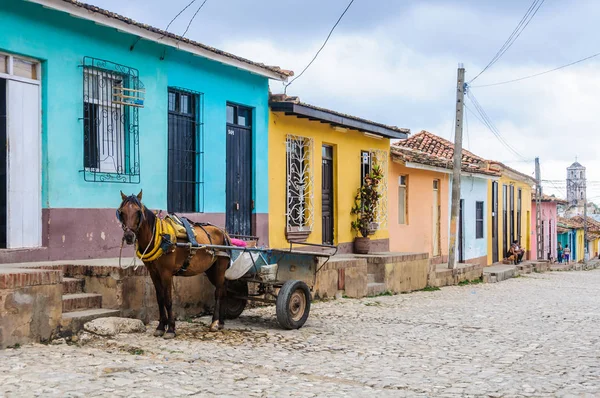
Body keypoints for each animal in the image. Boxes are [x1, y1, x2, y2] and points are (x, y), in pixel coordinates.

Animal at [117, 190, 232, 338]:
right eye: (121, 212)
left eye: (138, 212)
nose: (129, 236)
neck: (160, 238)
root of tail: (224, 232)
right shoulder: (153, 273)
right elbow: (160, 298)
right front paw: (161, 326)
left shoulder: (166, 273)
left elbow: (168, 299)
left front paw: (171, 329)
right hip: (210, 270)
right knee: (223, 290)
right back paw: (221, 322)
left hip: (220, 267)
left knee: (218, 292)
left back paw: (215, 323)